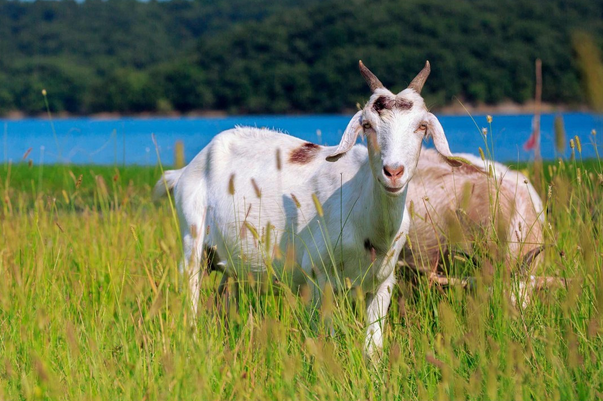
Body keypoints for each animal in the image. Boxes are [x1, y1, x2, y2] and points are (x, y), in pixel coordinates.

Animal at [155, 60, 462, 360]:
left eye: (422, 126)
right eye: (367, 125)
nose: (394, 172)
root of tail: (186, 169)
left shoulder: (383, 282)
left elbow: (373, 348)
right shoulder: (318, 278)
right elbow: (327, 338)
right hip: (191, 239)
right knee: (191, 294)